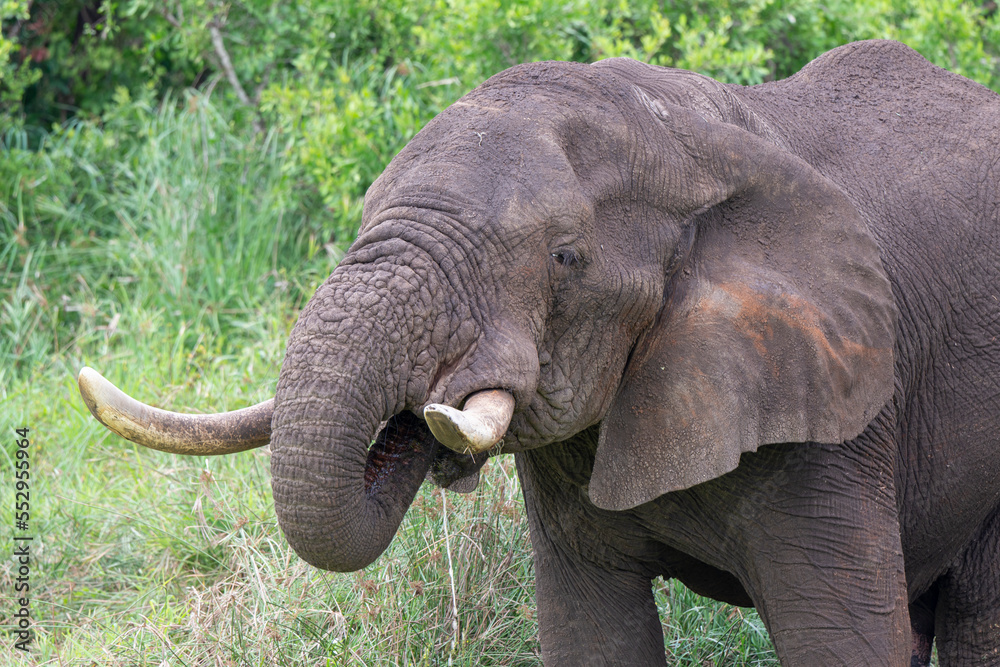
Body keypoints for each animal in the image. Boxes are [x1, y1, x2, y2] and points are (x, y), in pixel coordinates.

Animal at [78, 40, 1000, 665]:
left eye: (564, 258)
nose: (424, 407)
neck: (679, 133)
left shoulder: (835, 421)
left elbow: (841, 640)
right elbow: (592, 633)